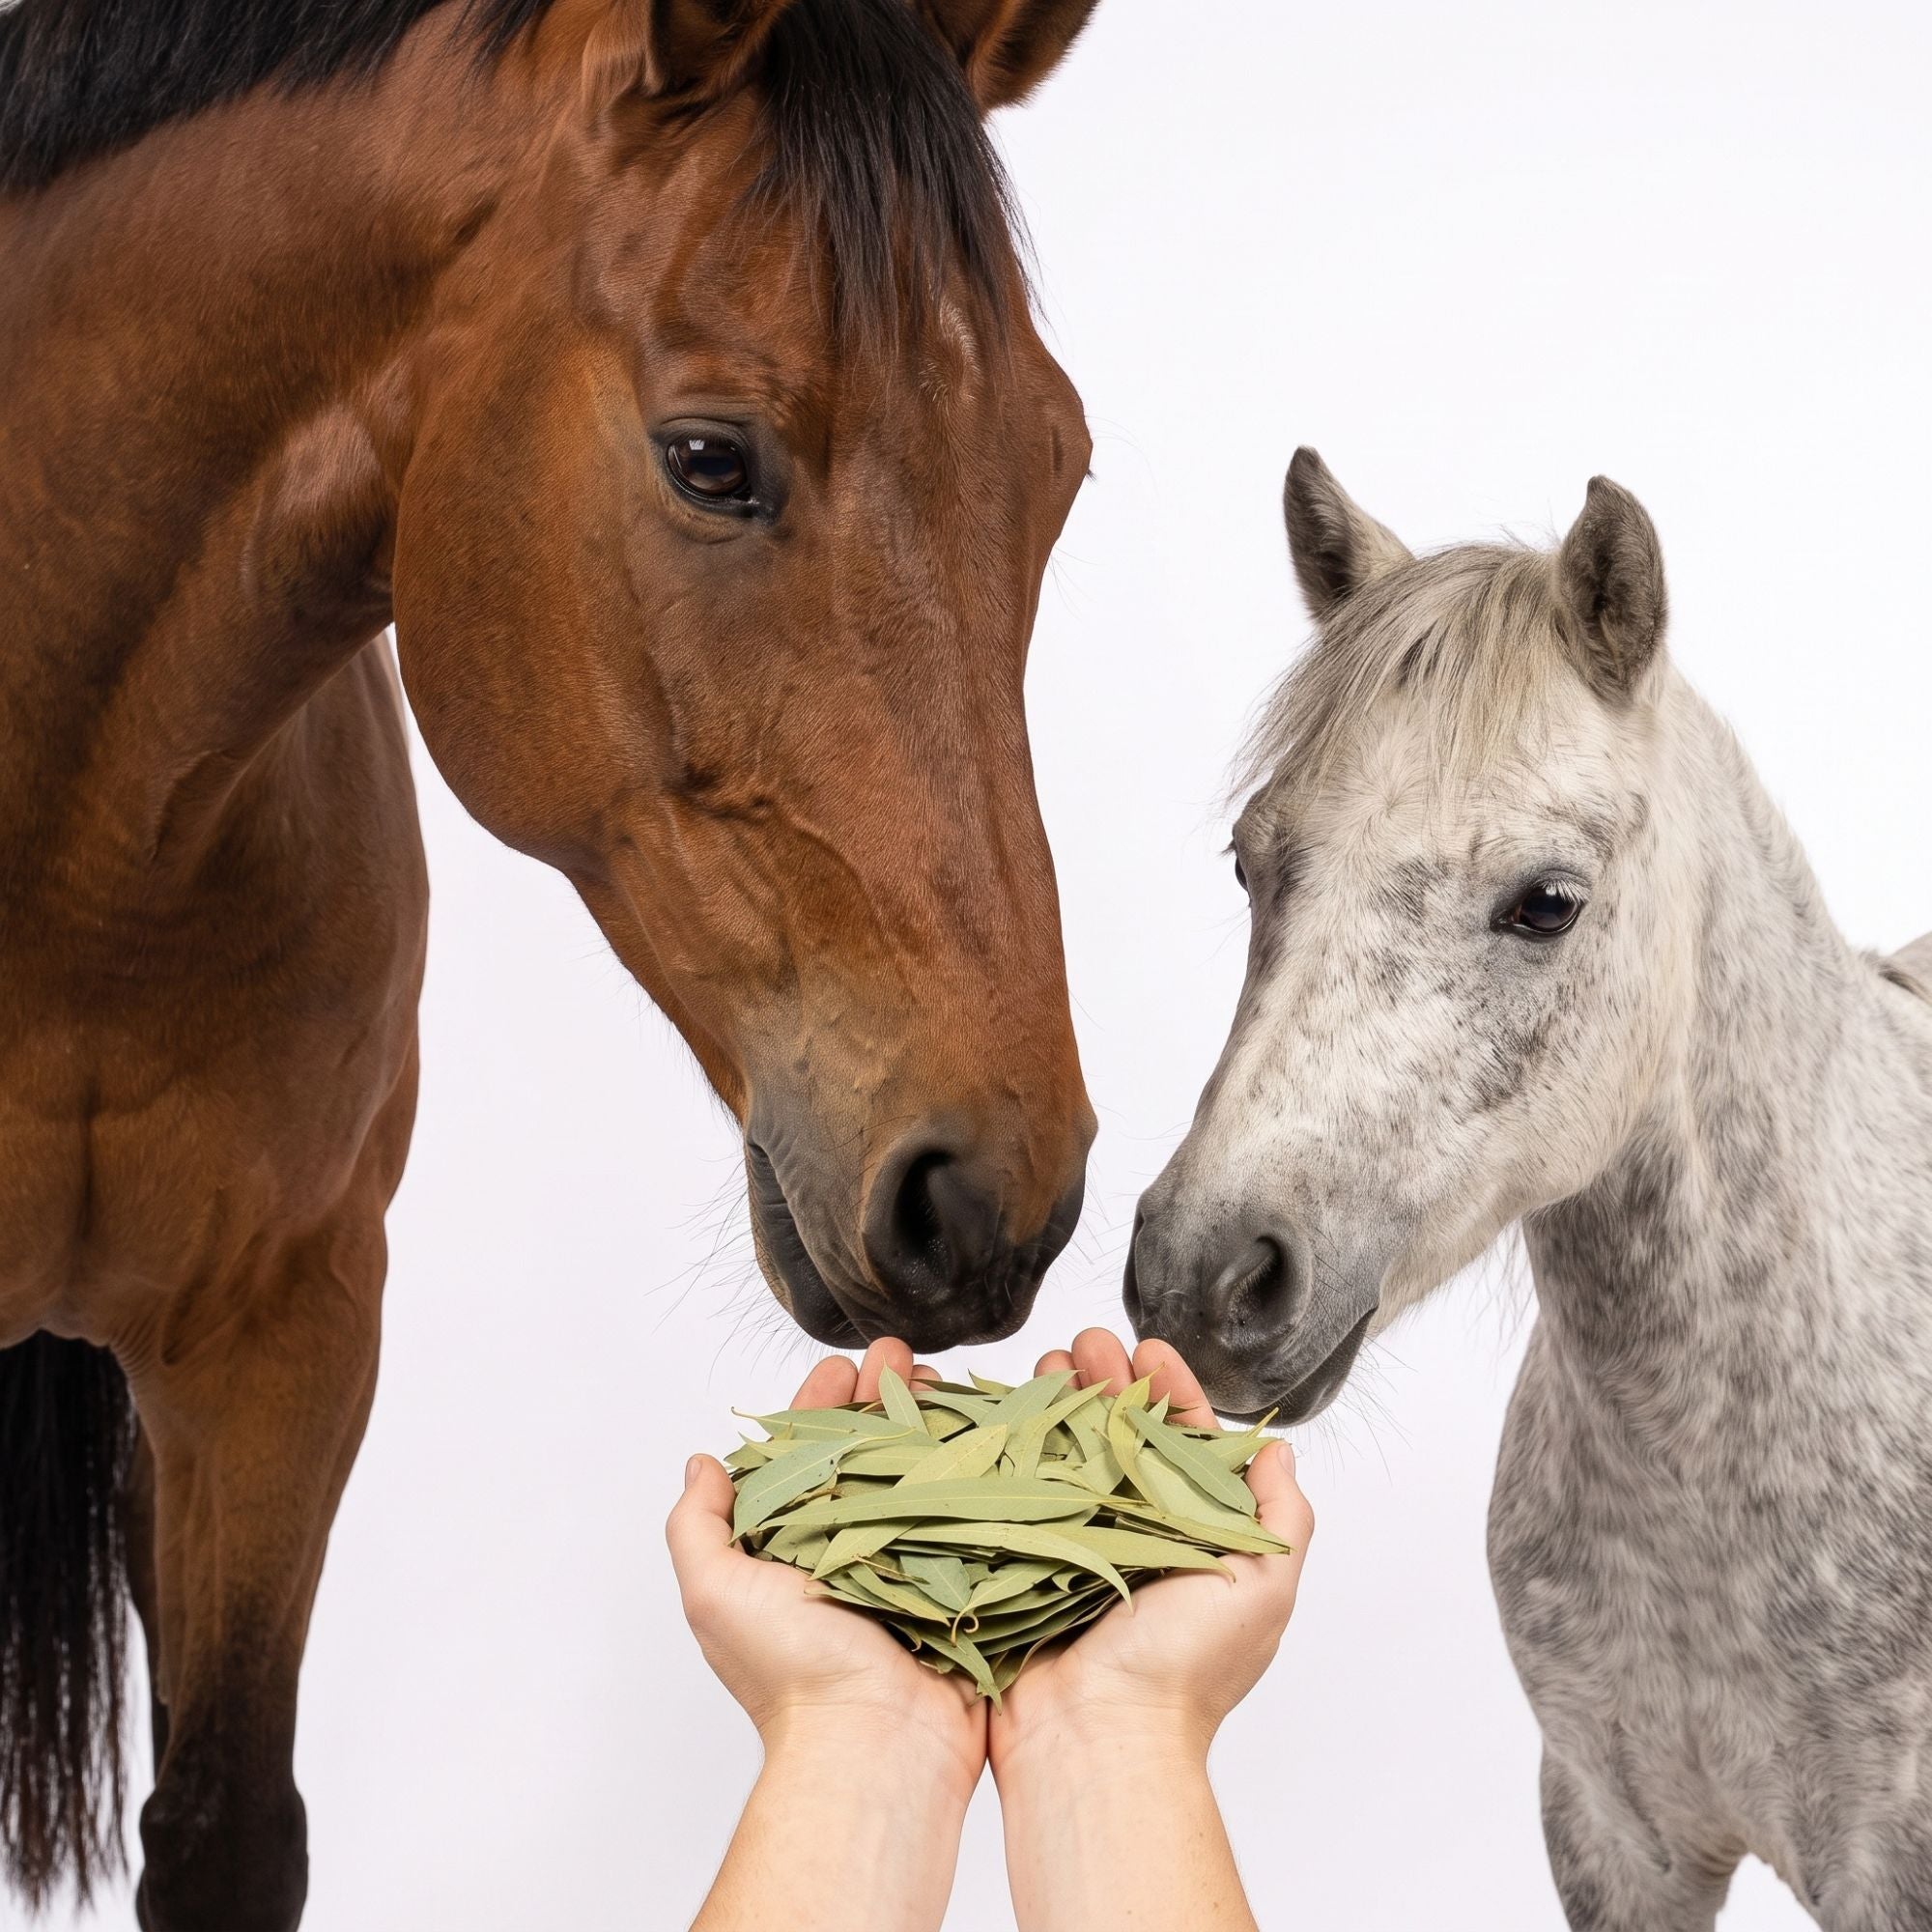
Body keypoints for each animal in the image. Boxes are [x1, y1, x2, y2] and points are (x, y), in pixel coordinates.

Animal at [0, 0, 1106, 1921]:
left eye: (1057, 463)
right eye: (711, 458)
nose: (988, 1196)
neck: (77, 863)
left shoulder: (279, 1350)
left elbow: (226, 1831)